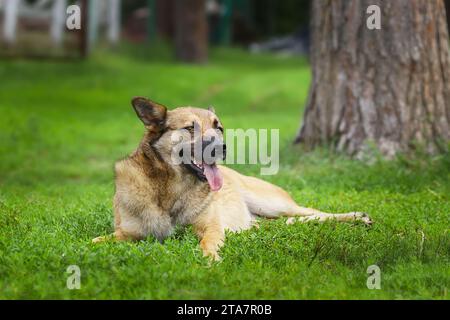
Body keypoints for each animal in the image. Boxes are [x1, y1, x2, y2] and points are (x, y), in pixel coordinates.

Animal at [92, 97, 372, 260]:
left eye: (219, 127)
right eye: (190, 127)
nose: (222, 147)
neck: (171, 189)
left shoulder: (211, 228)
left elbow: (208, 243)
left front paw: (209, 261)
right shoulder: (127, 233)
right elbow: (95, 240)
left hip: (271, 204)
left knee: (314, 212)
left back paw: (358, 217)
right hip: (270, 217)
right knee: (295, 221)